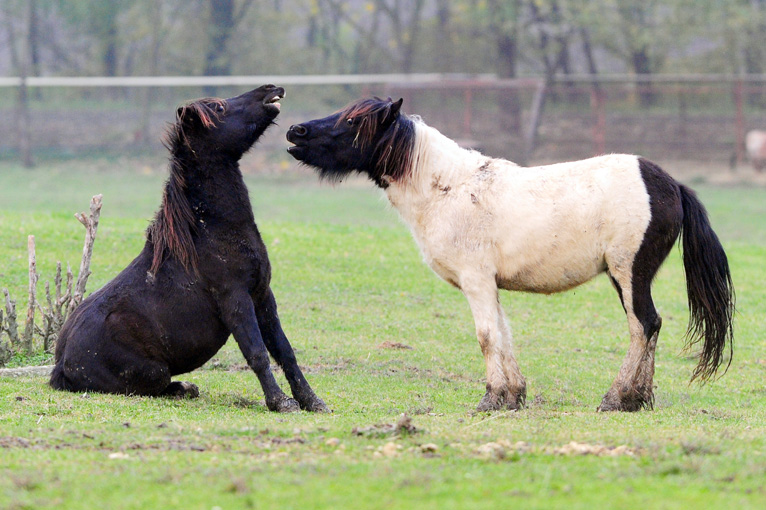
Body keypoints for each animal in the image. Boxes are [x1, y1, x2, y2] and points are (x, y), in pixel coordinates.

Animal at [51, 83, 328, 410]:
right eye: (219, 108)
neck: (212, 230)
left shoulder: (262, 296)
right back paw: (184, 387)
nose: (271, 89)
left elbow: (284, 351)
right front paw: (281, 403)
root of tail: (60, 366)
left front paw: (312, 401)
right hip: (154, 371)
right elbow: (258, 354)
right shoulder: (235, 299)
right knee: (157, 385)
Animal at [288, 97, 736, 412]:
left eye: (352, 121)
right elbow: (503, 333)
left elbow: (487, 337)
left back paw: (618, 398)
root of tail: (671, 184)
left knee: (643, 325)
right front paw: (513, 396)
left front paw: (492, 398)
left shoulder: (476, 281)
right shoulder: (489, 284)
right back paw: (638, 399)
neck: (447, 188)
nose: (295, 130)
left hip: (628, 273)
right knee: (651, 326)